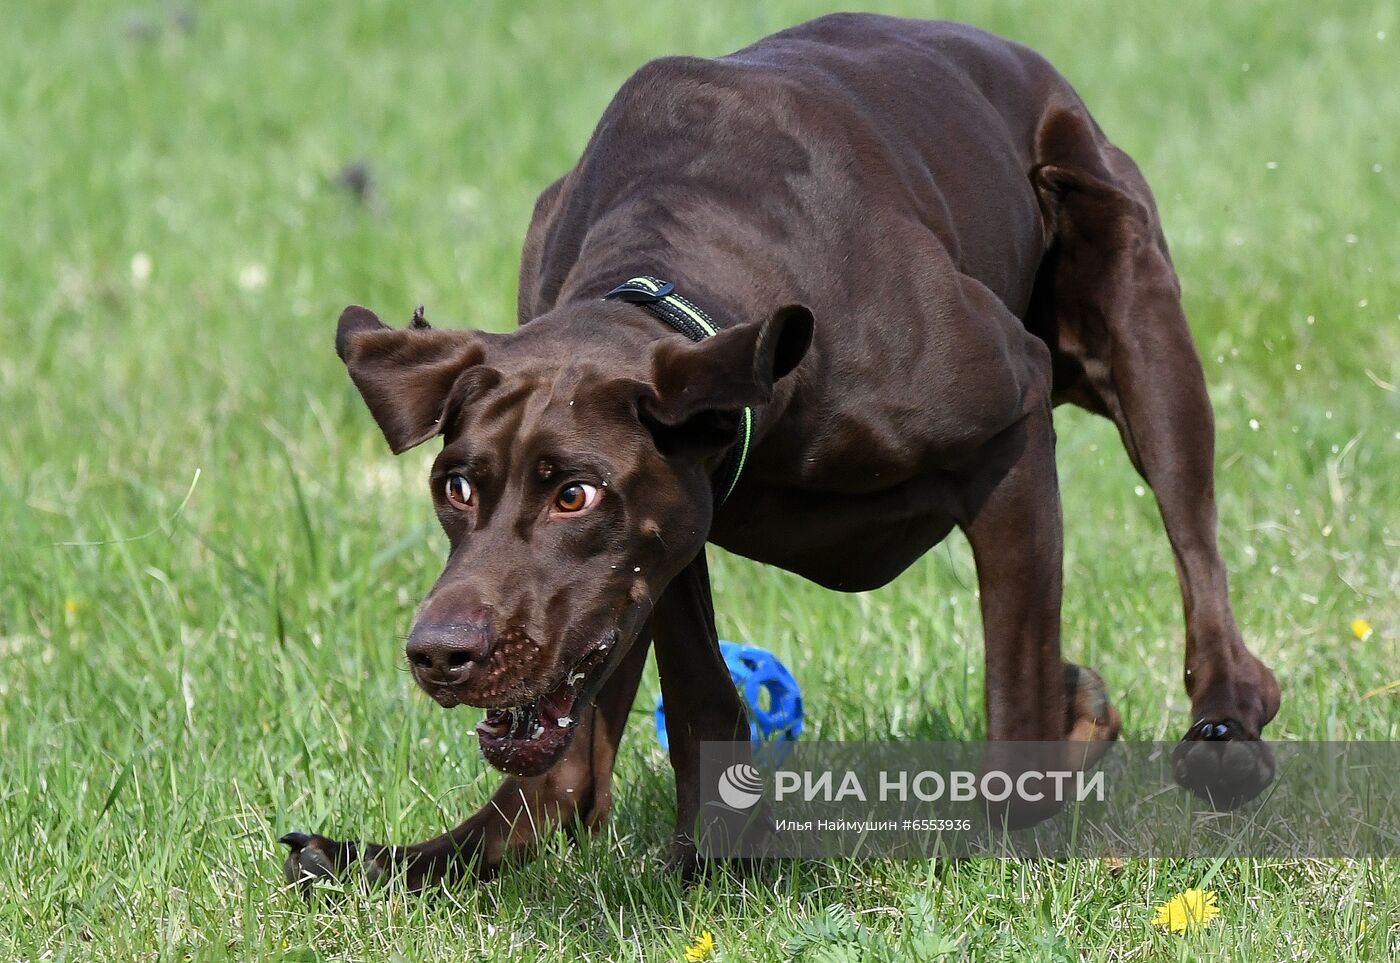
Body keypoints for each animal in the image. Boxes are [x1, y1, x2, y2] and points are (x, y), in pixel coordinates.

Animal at [281, 13, 1282, 890]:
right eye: (454, 486)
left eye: (576, 494)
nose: (438, 654)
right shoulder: (675, 528)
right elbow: (689, 692)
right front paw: (718, 848)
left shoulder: (1014, 427)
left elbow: (1018, 712)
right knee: (567, 770)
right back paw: (390, 858)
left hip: (1139, 321)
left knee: (1198, 552)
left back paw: (1227, 727)